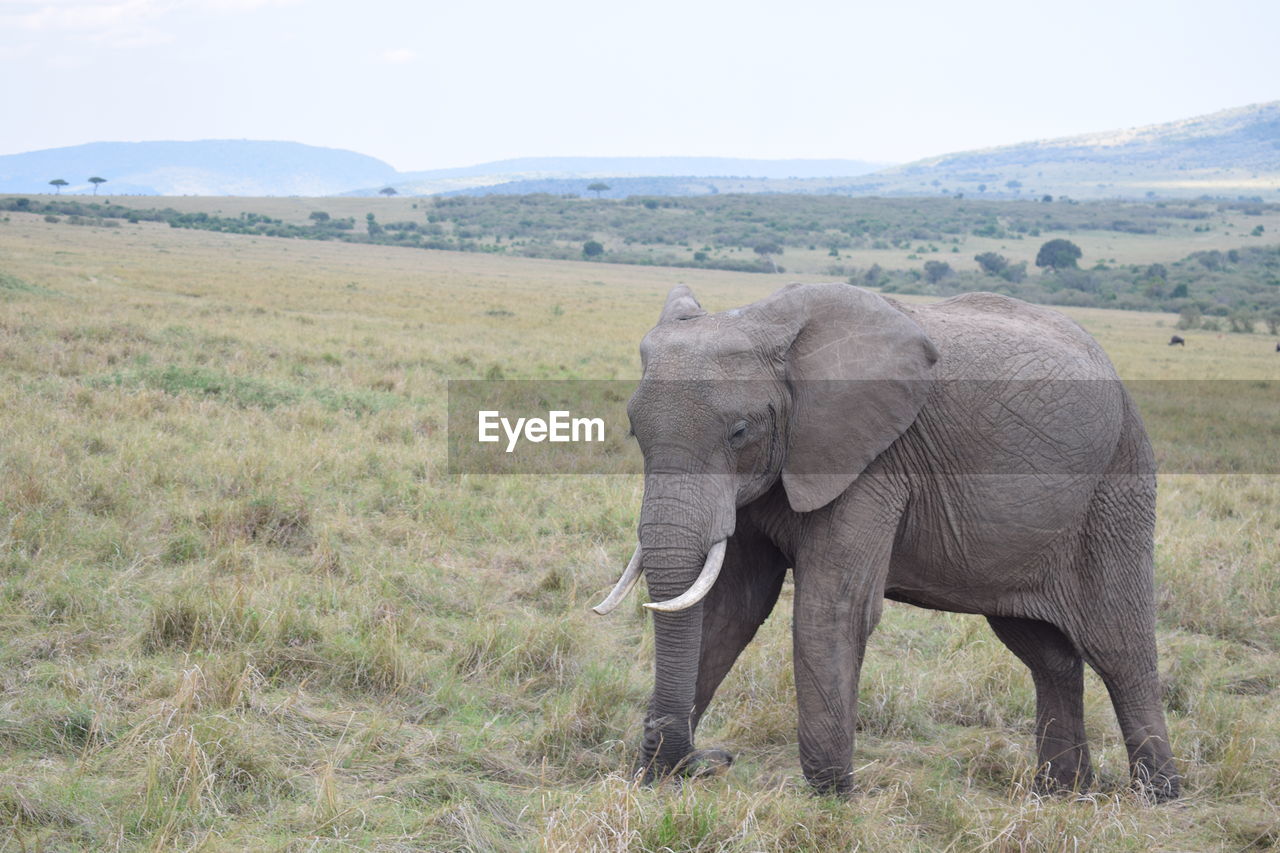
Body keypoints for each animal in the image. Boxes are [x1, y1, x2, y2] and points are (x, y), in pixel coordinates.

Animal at [591, 280, 1177, 799]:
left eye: (739, 432)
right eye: (634, 430)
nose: (712, 759)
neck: (770, 328)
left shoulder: (874, 459)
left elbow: (832, 608)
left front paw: (832, 796)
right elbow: (733, 606)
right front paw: (656, 779)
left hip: (1118, 481)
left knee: (1119, 648)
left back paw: (1156, 795)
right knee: (1046, 653)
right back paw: (1060, 794)